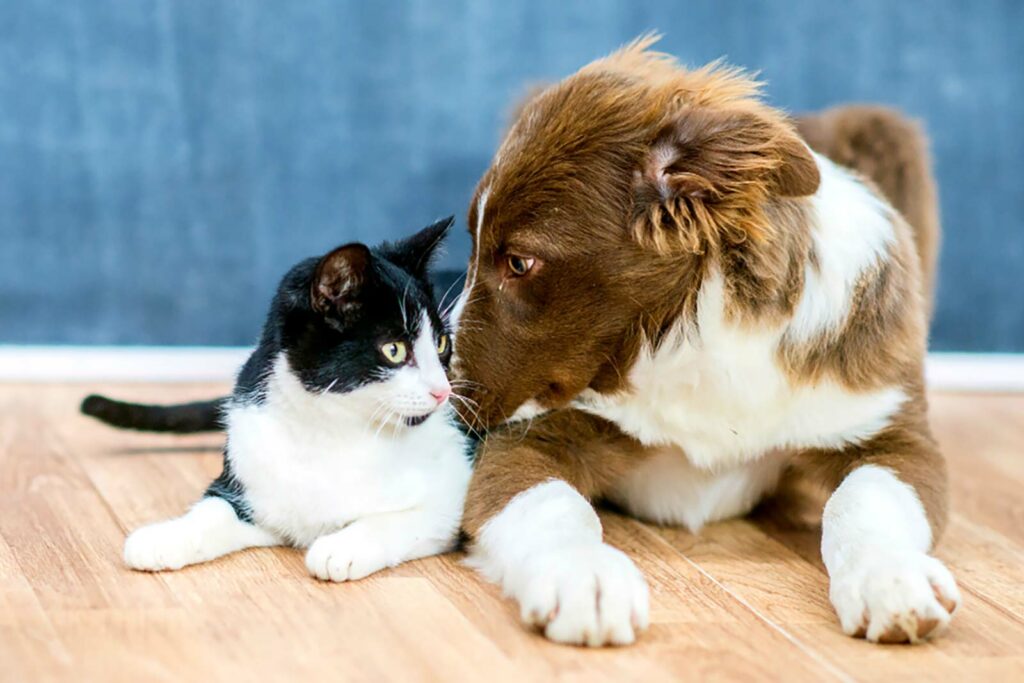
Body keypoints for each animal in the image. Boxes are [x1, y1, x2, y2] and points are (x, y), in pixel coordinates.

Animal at [86, 219, 473, 581]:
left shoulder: (454, 492)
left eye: (442, 344)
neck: (330, 428)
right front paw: (164, 537)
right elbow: (213, 510)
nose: (444, 391)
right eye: (394, 350)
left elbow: (401, 518)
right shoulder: (250, 478)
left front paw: (342, 547)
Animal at [452, 40, 954, 651]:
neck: (692, 342)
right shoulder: (534, 434)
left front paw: (892, 578)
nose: (440, 388)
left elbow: (864, 498)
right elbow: (549, 504)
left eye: (520, 263)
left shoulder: (893, 433)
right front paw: (583, 577)